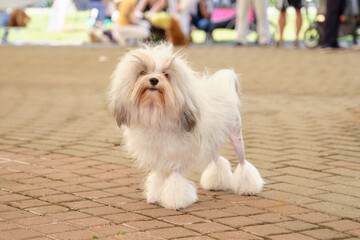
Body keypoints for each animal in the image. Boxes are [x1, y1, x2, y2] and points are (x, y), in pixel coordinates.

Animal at [108, 43, 262, 210]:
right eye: (142, 72)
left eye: (166, 74)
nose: (154, 80)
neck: (155, 110)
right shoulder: (157, 153)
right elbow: (158, 177)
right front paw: (155, 195)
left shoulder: (176, 152)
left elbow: (175, 179)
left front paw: (176, 201)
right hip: (211, 140)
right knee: (217, 160)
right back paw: (216, 183)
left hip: (236, 135)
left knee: (243, 162)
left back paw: (248, 188)